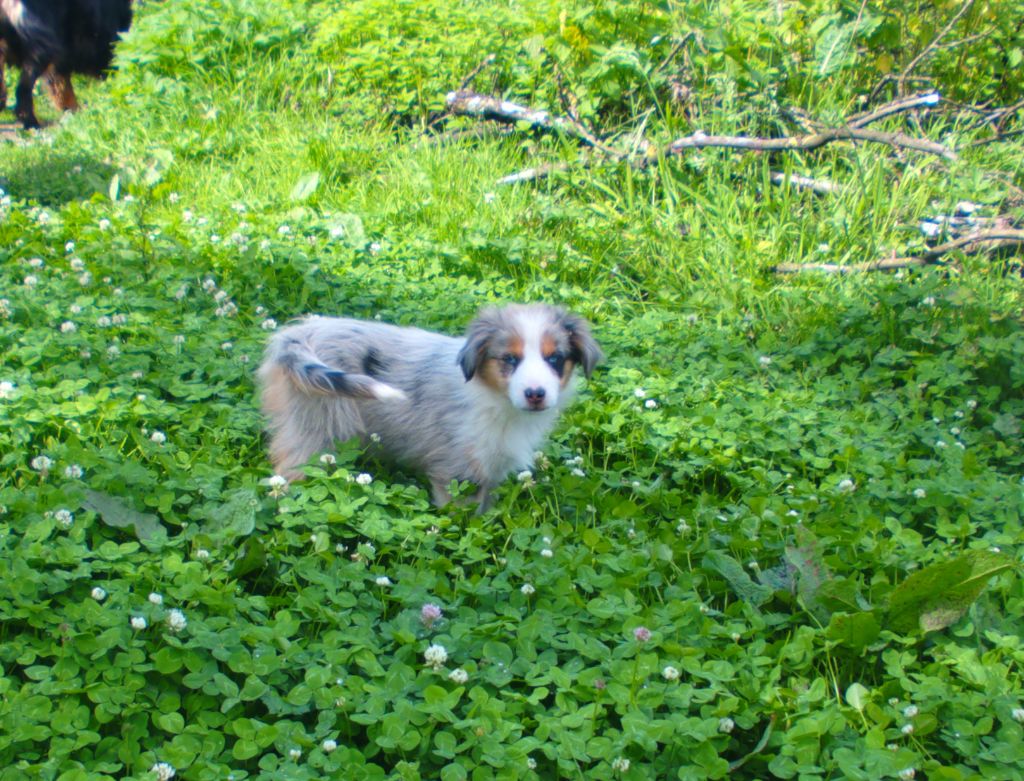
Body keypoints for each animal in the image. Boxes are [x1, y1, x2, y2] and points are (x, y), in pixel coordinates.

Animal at [259, 303, 601, 508]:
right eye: (509, 359)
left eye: (555, 359)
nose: (535, 394)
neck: (495, 399)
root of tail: (299, 335)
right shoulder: (457, 470)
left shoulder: (490, 468)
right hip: (317, 430)